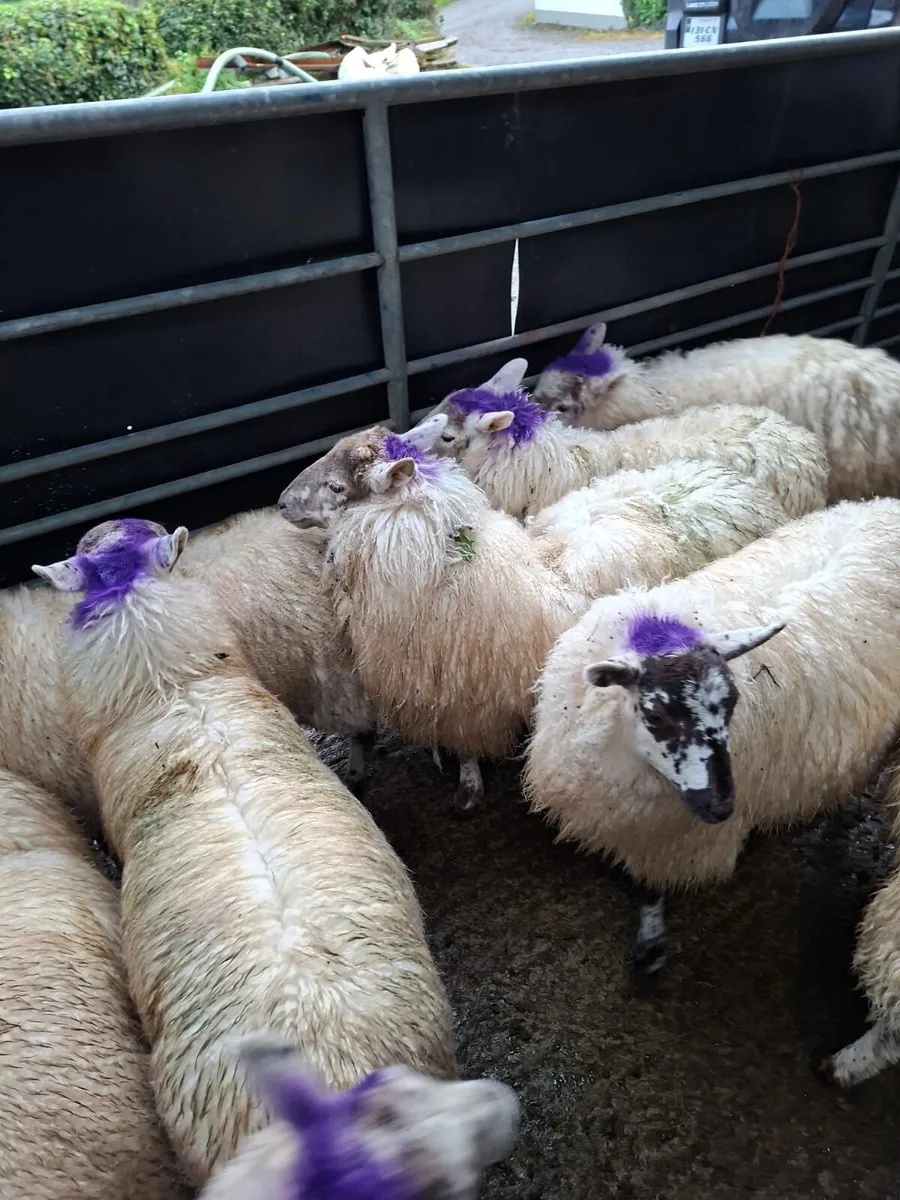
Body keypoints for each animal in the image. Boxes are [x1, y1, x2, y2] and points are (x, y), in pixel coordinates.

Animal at [525, 498, 900, 976]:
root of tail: (886, 504)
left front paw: (650, 946)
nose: (721, 807)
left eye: (732, 703)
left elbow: (650, 890)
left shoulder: (672, 841)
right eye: (655, 713)